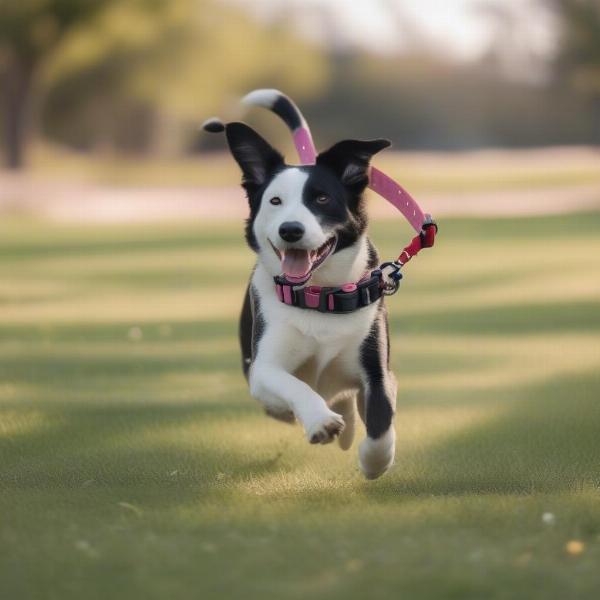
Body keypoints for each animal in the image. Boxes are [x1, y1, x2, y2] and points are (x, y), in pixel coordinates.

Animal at [206, 91, 398, 480]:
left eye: (322, 198)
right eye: (275, 200)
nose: (291, 230)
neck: (320, 296)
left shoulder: (376, 369)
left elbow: (382, 418)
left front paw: (374, 461)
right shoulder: (263, 366)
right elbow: (291, 383)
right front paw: (321, 421)